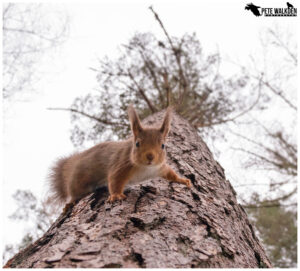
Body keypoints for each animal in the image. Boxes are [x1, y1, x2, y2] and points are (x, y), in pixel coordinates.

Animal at [49, 106, 190, 204]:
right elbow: (114, 180)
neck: (146, 168)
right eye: (137, 143)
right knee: (74, 193)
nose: (150, 157)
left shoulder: (159, 167)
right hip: (78, 181)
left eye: (163, 146)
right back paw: (70, 203)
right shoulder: (122, 164)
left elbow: (170, 173)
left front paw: (182, 180)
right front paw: (116, 195)